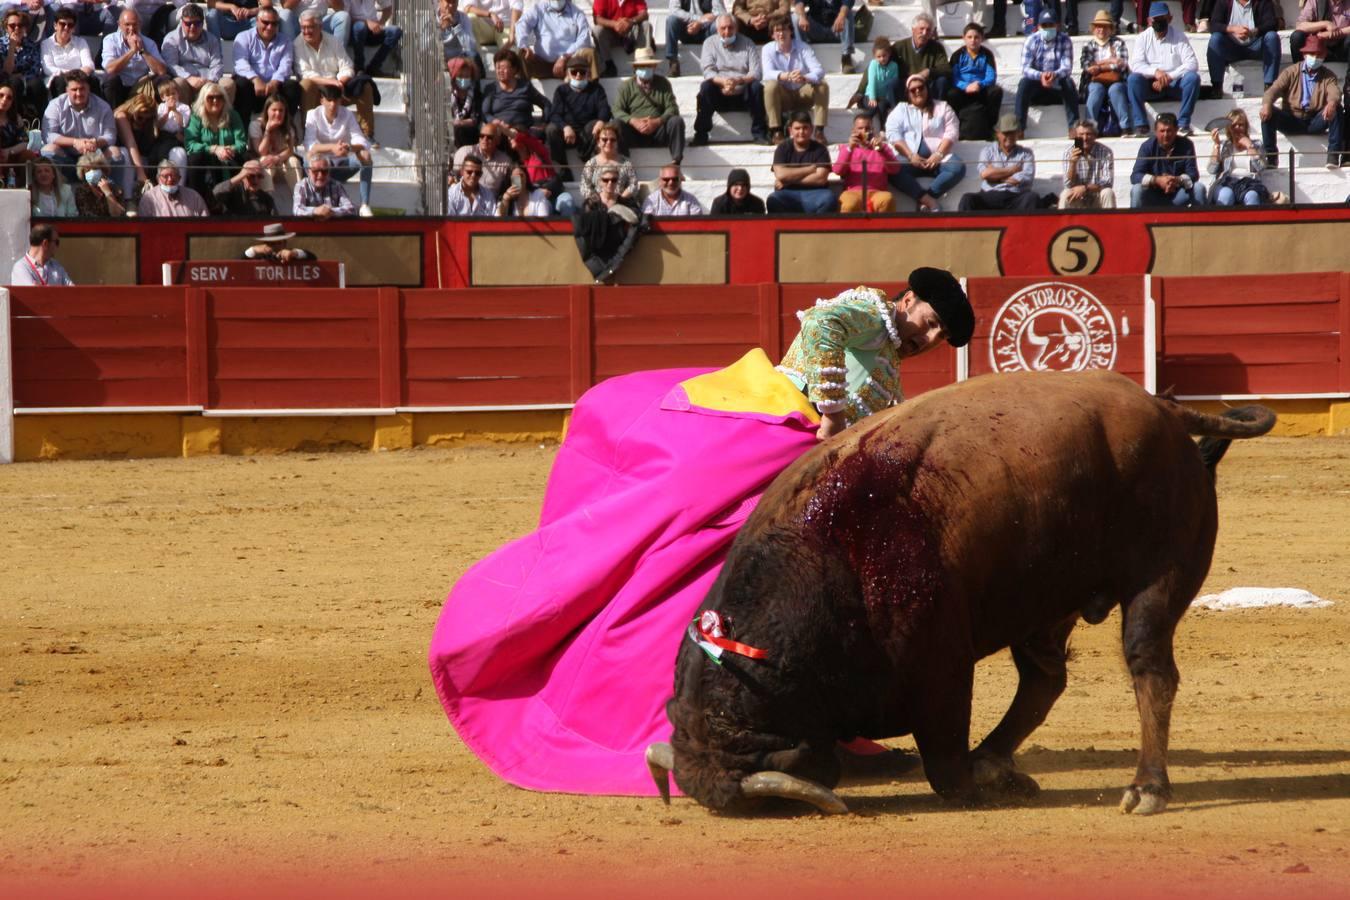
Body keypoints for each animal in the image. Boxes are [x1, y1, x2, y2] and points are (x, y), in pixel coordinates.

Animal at [642, 372, 1274, 814]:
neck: (828, 556)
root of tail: (1162, 408)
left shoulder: (939, 665)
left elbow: (944, 758)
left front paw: (970, 786)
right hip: (1045, 593)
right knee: (1045, 678)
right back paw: (995, 761)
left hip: (1160, 576)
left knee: (1150, 667)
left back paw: (1147, 788)